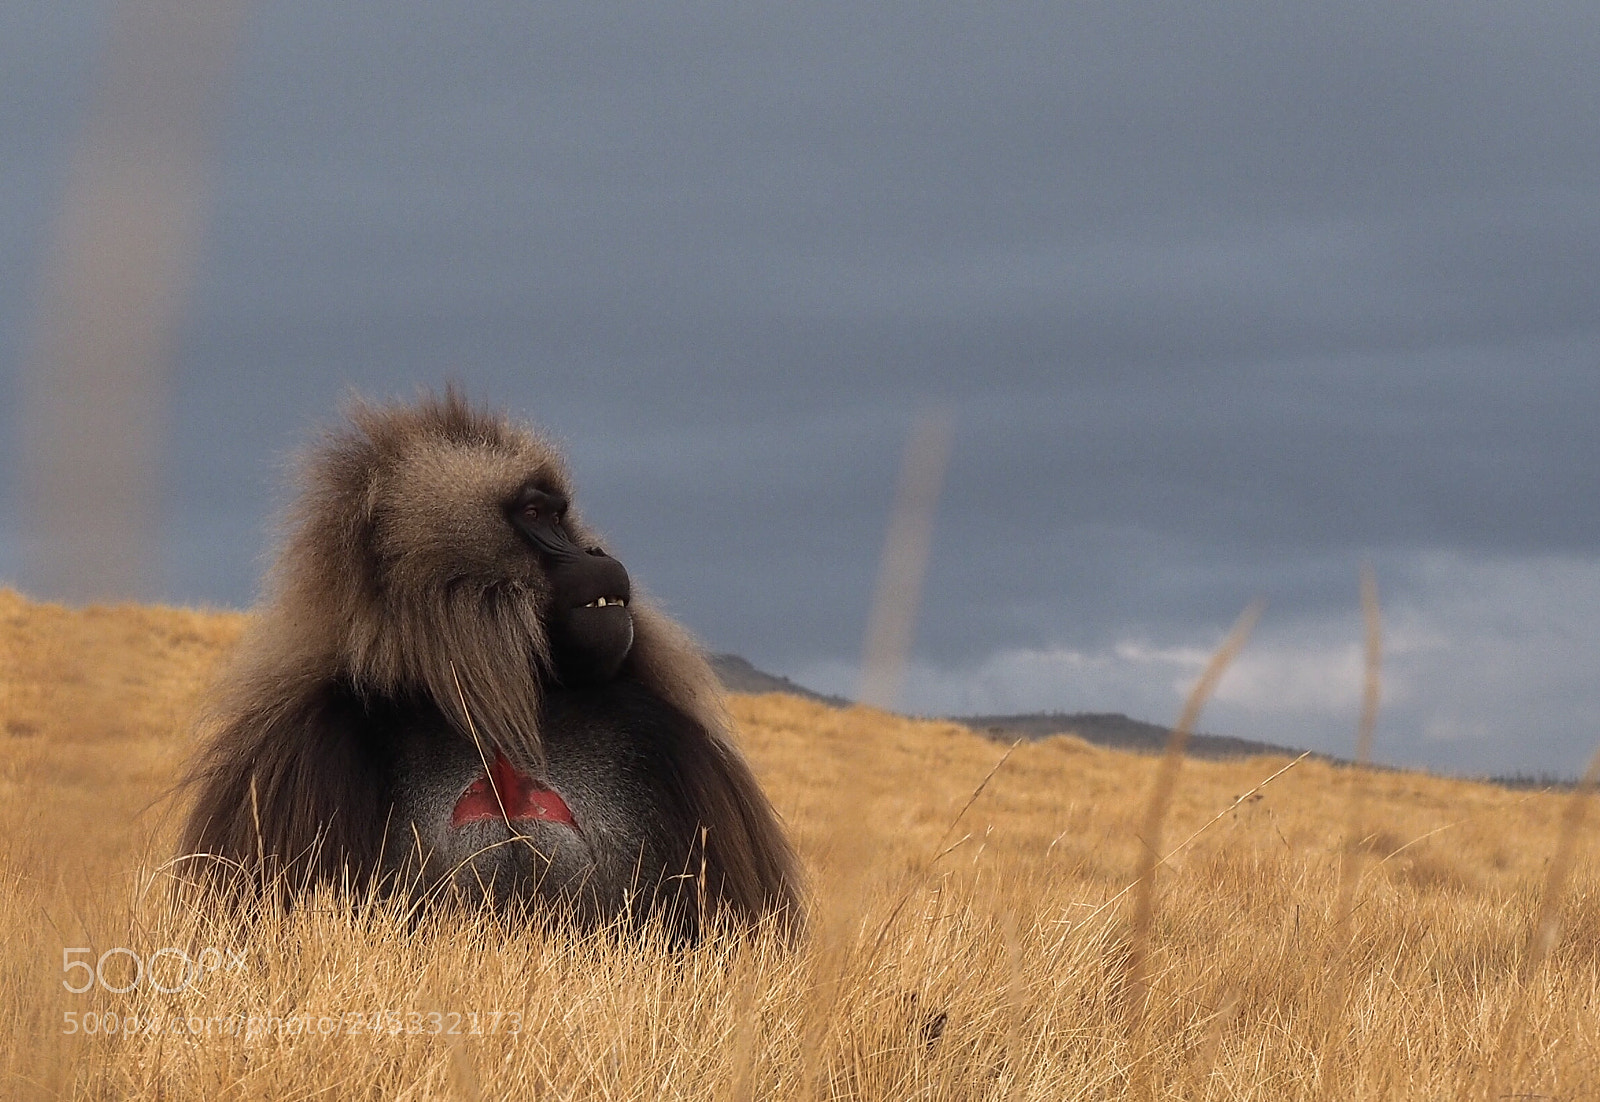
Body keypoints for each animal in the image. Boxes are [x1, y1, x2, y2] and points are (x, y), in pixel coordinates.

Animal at [177, 389, 803, 941]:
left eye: (561, 514)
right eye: (534, 513)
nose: (598, 553)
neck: (489, 701)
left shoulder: (671, 739)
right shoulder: (299, 749)